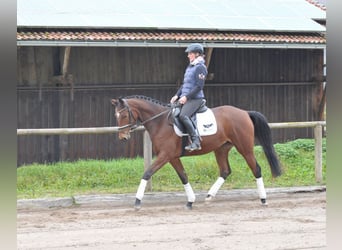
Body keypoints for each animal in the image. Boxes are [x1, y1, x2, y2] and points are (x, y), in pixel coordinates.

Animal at [111, 94, 282, 210]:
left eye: (124, 115)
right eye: (116, 115)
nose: (123, 137)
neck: (160, 122)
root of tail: (244, 112)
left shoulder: (165, 156)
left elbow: (147, 173)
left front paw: (137, 201)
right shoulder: (172, 157)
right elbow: (183, 176)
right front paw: (190, 201)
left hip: (244, 148)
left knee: (256, 169)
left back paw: (263, 199)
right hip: (221, 149)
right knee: (225, 171)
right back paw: (209, 196)